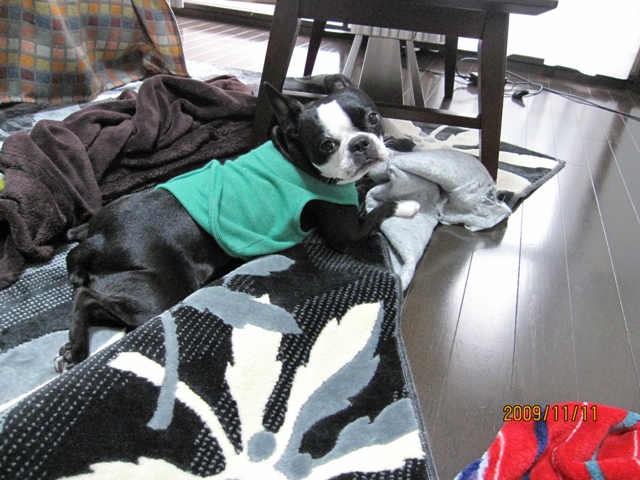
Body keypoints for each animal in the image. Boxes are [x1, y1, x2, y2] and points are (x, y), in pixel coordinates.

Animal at [54, 74, 419, 373]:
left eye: (372, 117)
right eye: (326, 145)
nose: (361, 143)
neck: (293, 153)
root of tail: (97, 241)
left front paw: (402, 144)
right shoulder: (346, 232)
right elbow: (374, 204)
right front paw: (406, 202)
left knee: (82, 250)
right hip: (159, 292)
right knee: (86, 296)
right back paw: (77, 349)